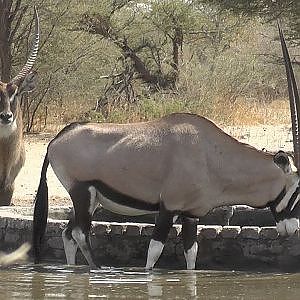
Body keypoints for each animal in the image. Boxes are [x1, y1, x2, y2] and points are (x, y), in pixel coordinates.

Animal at [32, 25, 298, 270]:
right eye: (297, 189)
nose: (293, 229)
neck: (213, 156)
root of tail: (57, 139)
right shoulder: (168, 208)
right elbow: (153, 253)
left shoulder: (191, 215)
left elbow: (191, 254)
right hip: (82, 193)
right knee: (80, 233)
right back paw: (96, 269)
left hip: (93, 200)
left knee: (68, 233)